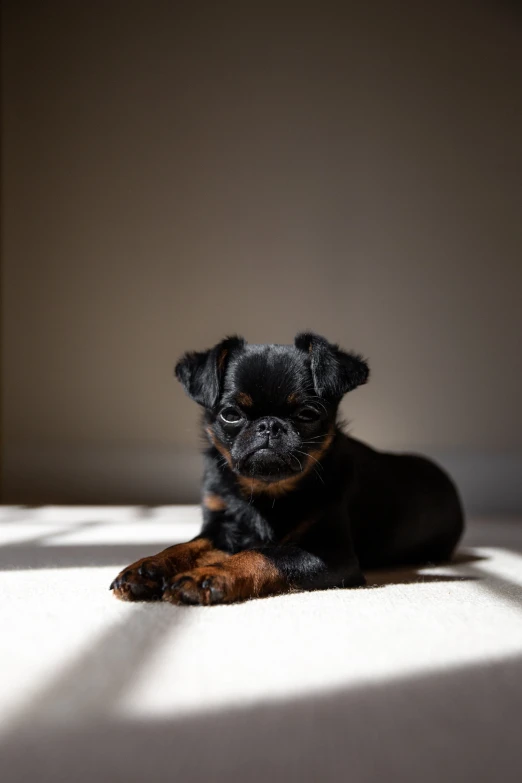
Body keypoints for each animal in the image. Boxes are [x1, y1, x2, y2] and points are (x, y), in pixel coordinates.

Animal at [110, 330, 464, 608]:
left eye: (308, 414)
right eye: (230, 415)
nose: (269, 425)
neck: (266, 493)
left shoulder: (331, 554)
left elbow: (264, 555)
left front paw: (209, 575)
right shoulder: (221, 528)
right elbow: (187, 546)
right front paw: (148, 568)